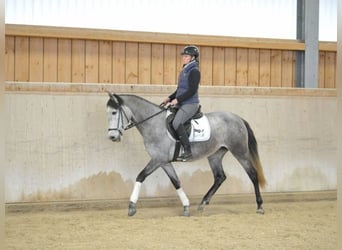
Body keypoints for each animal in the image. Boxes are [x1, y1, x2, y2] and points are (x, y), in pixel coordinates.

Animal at [105, 93, 266, 216]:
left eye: (114, 112)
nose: (112, 137)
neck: (154, 124)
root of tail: (238, 118)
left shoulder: (157, 159)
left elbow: (140, 176)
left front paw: (131, 206)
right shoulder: (164, 162)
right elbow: (176, 182)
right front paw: (186, 206)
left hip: (239, 151)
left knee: (252, 174)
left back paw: (259, 206)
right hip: (215, 155)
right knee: (220, 177)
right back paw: (202, 204)